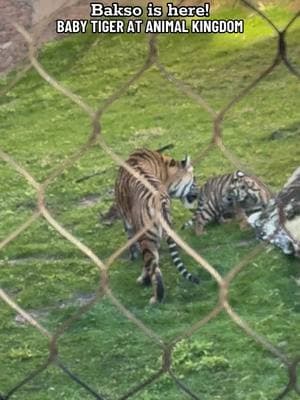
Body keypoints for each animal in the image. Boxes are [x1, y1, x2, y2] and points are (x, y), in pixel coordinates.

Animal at [116, 148, 200, 304]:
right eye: (195, 179)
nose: (199, 191)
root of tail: (160, 201)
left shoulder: (128, 223)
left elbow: (131, 243)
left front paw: (133, 259)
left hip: (146, 238)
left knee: (155, 270)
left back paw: (156, 298)